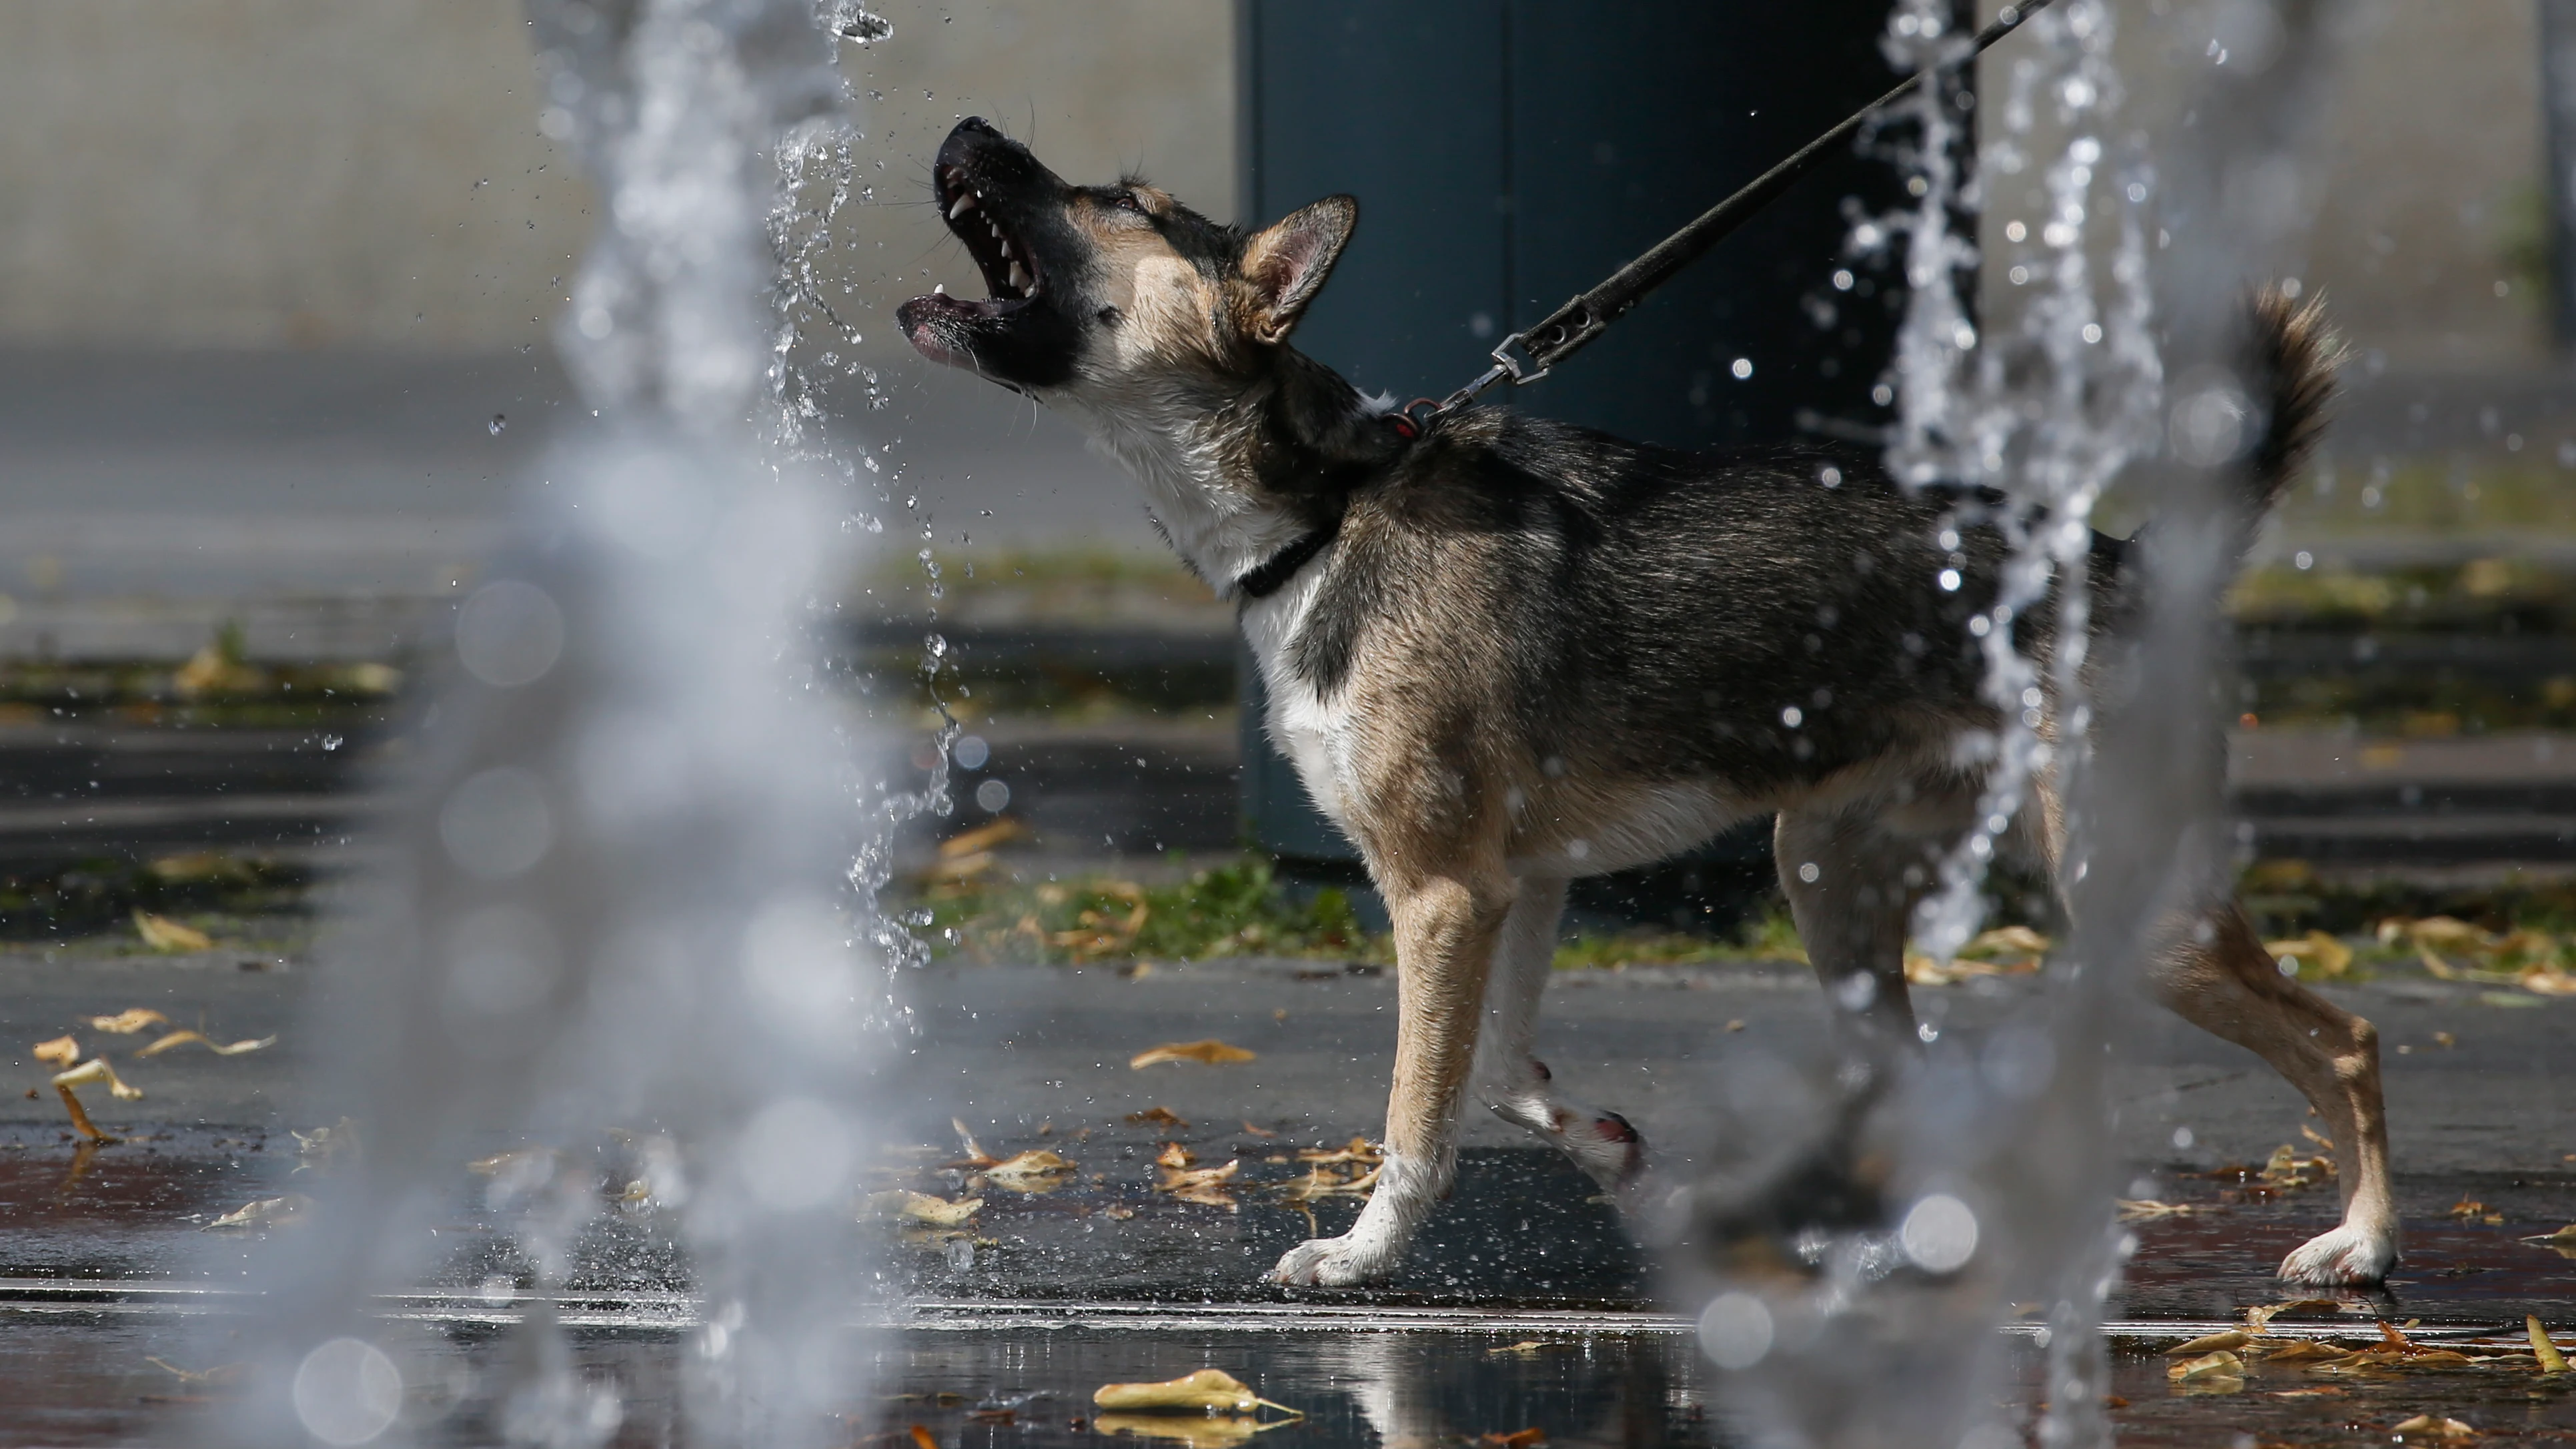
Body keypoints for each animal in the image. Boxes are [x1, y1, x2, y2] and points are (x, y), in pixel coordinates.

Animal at [901, 115, 2390, 1284]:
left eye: (1121, 201)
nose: (965, 124)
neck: (1324, 511)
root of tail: (2132, 564)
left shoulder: (1440, 895)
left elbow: (1416, 1115)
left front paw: (1364, 1256)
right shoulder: (1516, 888)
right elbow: (1501, 1072)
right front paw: (1605, 1147)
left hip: (2129, 906)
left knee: (2347, 1042)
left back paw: (2360, 1245)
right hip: (1825, 875)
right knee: (1910, 1075)